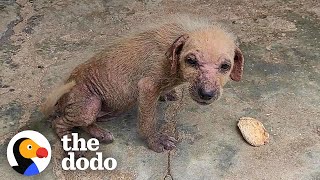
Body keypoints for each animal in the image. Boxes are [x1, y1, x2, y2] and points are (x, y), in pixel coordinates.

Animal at [41, 16, 244, 155]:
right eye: (191, 61)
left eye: (225, 66)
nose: (206, 94)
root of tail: (60, 102)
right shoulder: (147, 87)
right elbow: (148, 121)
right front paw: (156, 141)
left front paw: (168, 93)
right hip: (89, 105)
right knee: (59, 123)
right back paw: (71, 143)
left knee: (84, 124)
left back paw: (100, 134)